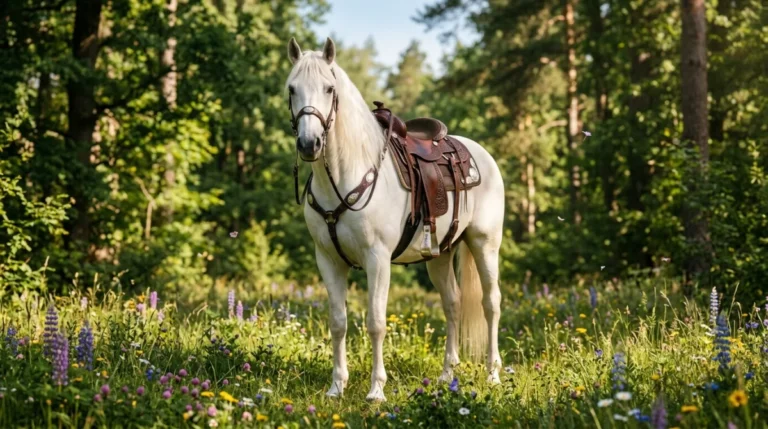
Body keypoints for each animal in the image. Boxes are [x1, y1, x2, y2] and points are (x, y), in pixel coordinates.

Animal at [285, 37, 505, 402]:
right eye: (292, 89)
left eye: (329, 88)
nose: (309, 143)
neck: (347, 174)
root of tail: (480, 154)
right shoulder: (328, 260)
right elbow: (338, 322)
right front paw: (336, 387)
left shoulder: (377, 259)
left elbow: (376, 322)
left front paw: (376, 390)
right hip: (440, 255)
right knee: (453, 304)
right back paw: (447, 375)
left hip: (485, 245)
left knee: (491, 304)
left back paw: (493, 374)